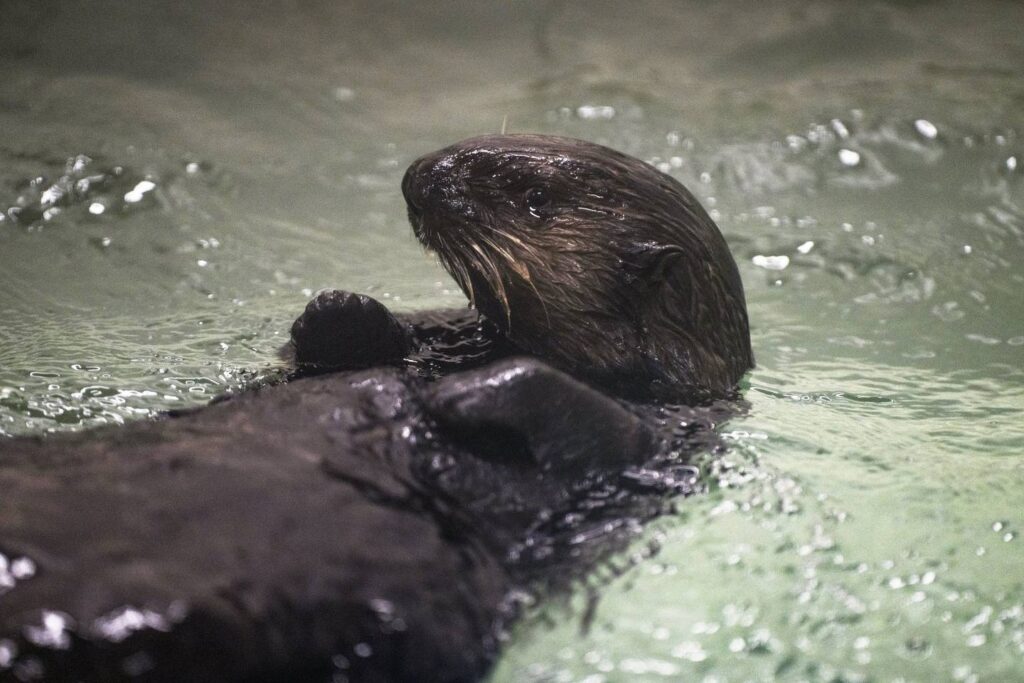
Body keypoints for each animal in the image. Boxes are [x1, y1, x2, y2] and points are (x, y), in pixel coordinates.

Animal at [0, 135, 752, 682]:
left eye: (534, 196)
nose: (421, 172)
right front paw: (345, 312)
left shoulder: (666, 435)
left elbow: (593, 425)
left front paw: (453, 392)